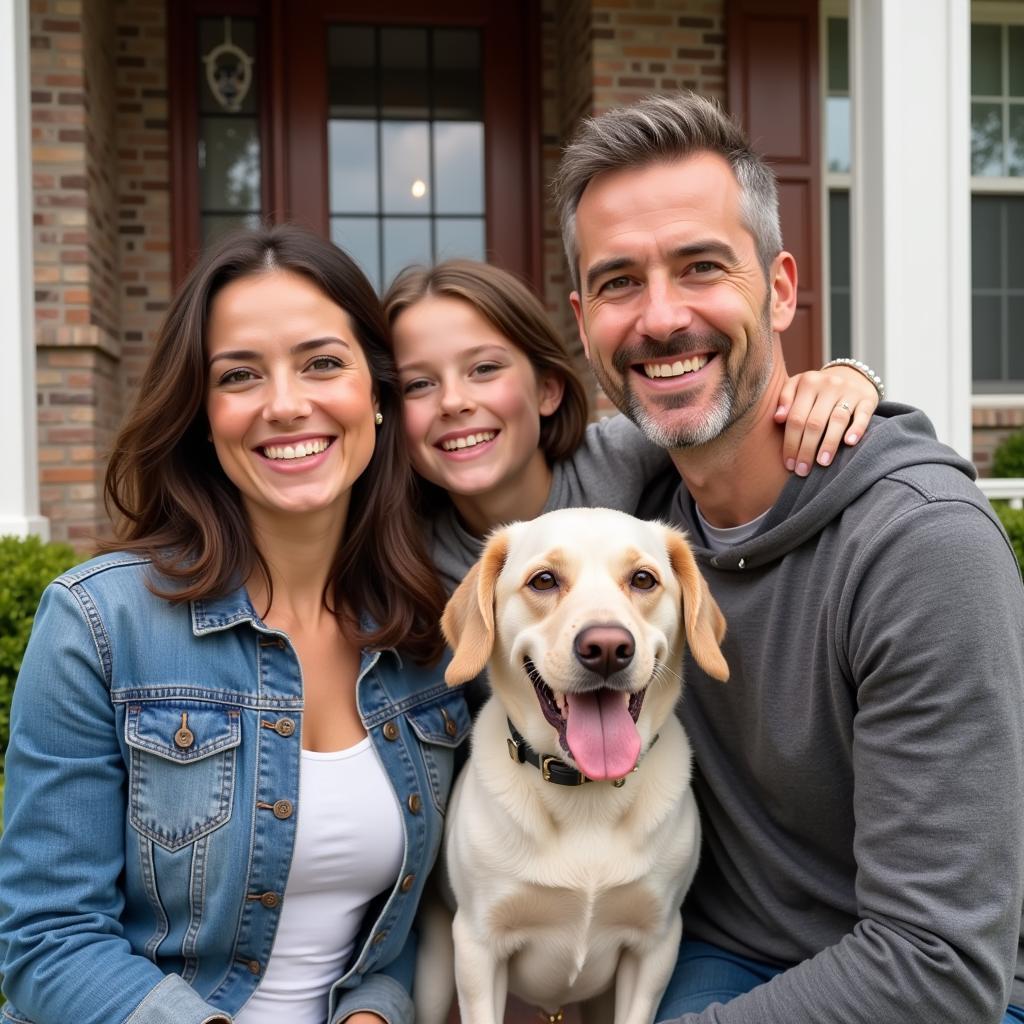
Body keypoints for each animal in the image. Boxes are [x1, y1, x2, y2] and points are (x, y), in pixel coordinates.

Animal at [413, 505, 729, 1024]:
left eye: (643, 579)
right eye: (544, 580)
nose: (607, 648)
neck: (586, 791)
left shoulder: (656, 946)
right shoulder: (478, 947)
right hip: (437, 977)